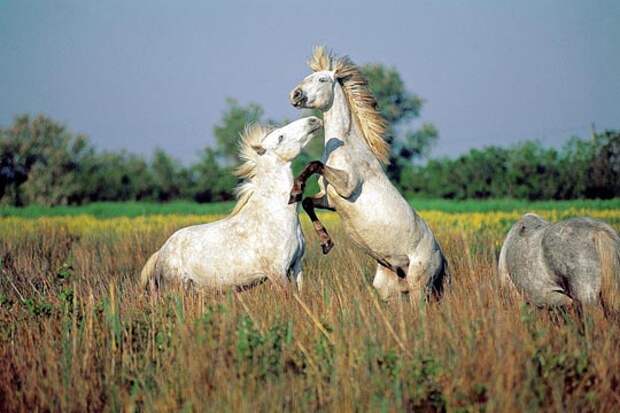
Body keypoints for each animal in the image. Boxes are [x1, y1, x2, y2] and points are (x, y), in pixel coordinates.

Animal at [140, 116, 322, 290]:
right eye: (280, 137)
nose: (314, 120)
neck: (274, 216)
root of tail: (161, 252)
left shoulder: (297, 267)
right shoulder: (277, 273)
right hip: (176, 287)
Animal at [288, 46, 448, 300]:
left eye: (322, 79)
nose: (295, 95)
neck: (347, 147)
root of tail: (441, 259)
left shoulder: (347, 186)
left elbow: (314, 164)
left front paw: (294, 191)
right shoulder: (330, 199)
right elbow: (307, 202)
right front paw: (326, 243)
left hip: (419, 287)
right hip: (389, 288)